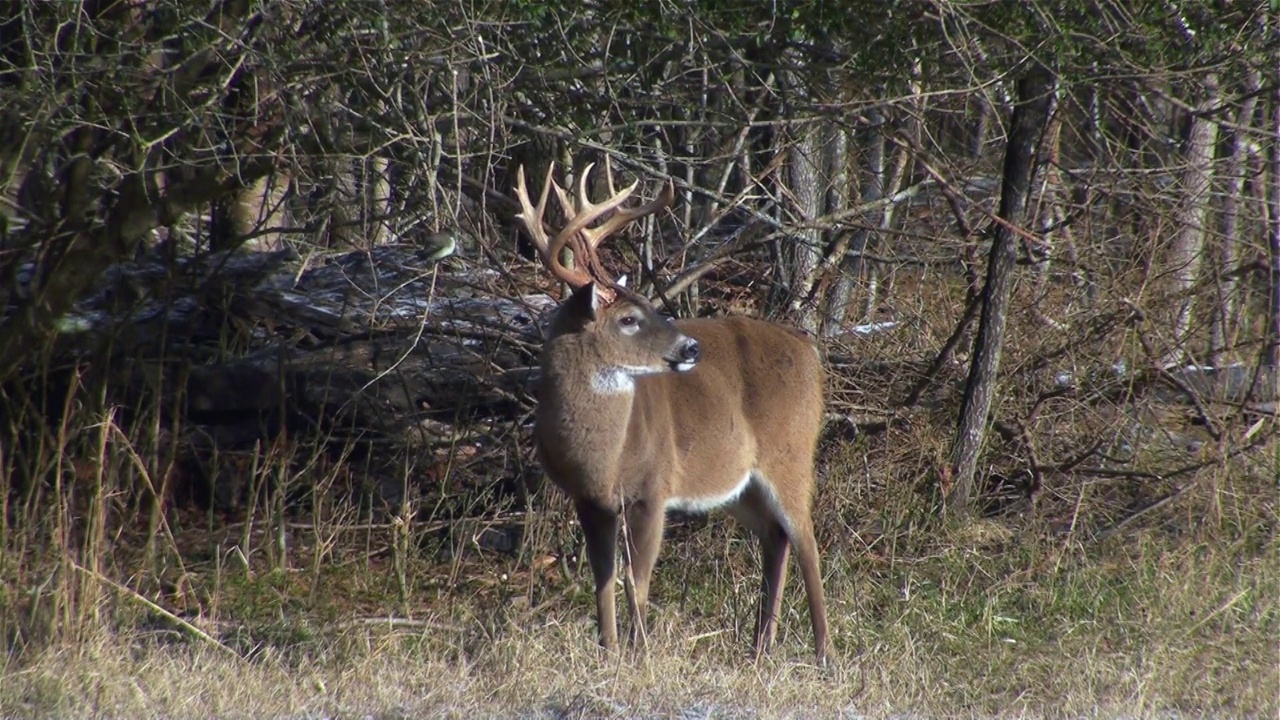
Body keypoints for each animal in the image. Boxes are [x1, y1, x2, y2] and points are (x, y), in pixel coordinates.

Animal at [517, 159, 829, 666]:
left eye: (649, 305)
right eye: (629, 319)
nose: (691, 347)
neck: (601, 455)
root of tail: (809, 351)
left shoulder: (653, 486)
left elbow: (636, 581)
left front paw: (640, 653)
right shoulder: (591, 500)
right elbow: (602, 581)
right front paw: (609, 653)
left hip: (791, 452)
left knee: (808, 542)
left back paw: (824, 655)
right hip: (739, 485)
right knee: (775, 538)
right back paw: (758, 649)